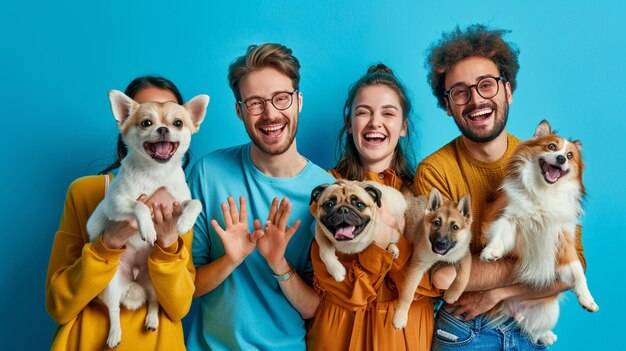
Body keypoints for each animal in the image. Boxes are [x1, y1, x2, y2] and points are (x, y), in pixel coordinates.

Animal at [390, 190, 468, 330]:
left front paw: (452, 294)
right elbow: (408, 293)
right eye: (437, 223)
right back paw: (393, 248)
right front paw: (400, 316)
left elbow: (464, 275)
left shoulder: (463, 252)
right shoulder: (418, 265)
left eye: (455, 227)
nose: (441, 243)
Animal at [480, 120, 596, 346]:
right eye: (551, 147)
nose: (561, 158)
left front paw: (588, 300)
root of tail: (513, 310)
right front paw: (491, 252)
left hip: (549, 309)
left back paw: (546, 335)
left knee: (530, 329)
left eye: (570, 155)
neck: (545, 190)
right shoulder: (509, 218)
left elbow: (577, 270)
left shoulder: (563, 240)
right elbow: (500, 235)